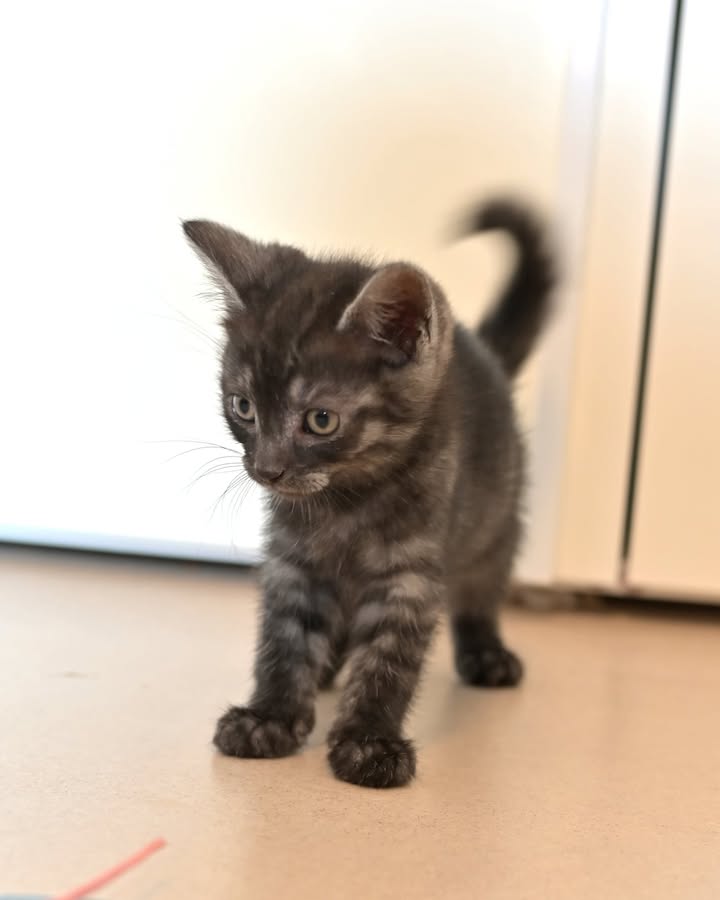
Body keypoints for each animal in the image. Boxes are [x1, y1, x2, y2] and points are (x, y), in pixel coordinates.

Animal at [183, 199, 554, 788]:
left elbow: (388, 657)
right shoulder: (292, 560)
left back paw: (486, 654)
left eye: (320, 420)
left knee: (482, 587)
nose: (266, 470)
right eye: (242, 407)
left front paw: (370, 741)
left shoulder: (411, 573)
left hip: (497, 518)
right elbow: (285, 638)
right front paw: (270, 716)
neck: (346, 500)